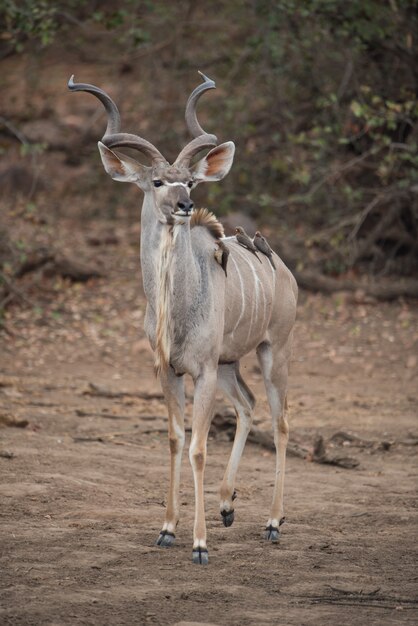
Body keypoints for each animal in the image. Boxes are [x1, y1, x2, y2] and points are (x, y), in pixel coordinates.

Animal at [68, 70, 298, 564]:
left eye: (190, 183)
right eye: (157, 181)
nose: (184, 206)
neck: (174, 310)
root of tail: (285, 271)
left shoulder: (202, 371)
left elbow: (197, 447)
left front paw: (199, 543)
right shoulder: (169, 370)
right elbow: (175, 438)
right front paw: (168, 529)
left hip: (273, 350)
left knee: (281, 420)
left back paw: (273, 522)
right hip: (230, 365)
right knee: (248, 405)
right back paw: (227, 505)